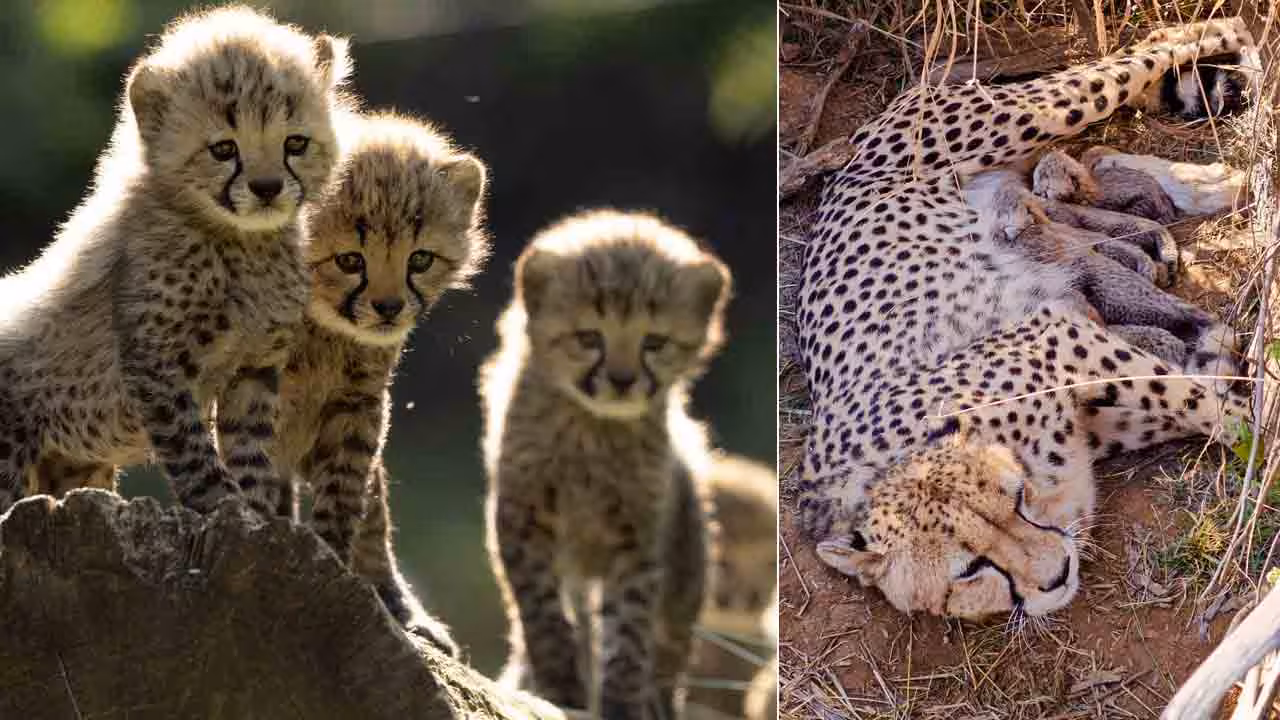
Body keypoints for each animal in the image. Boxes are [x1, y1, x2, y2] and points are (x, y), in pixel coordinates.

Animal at [0, 6, 349, 518]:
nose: (267, 188)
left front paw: (259, 516)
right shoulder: (157, 367)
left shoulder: (253, 369)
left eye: (295, 144)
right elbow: (195, 456)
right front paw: (225, 506)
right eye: (224, 149)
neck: (240, 243)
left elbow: (251, 457)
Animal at [270, 111, 489, 655]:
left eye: (420, 260)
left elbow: (350, 497)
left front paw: (327, 565)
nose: (389, 308)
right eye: (350, 260)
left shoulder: (360, 404)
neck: (323, 327)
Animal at [481, 209, 732, 720]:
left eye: (654, 342)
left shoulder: (638, 539)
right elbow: (543, 613)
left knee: (669, 647)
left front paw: (620, 701)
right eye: (588, 337)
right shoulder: (521, 518)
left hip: (687, 563)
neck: (593, 429)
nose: (621, 380)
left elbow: (630, 632)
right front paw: (559, 686)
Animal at [794, 18, 1256, 621]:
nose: (1056, 574)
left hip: (1033, 112)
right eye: (970, 570)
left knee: (1165, 43)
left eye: (1014, 500)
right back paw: (1207, 187)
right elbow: (1193, 390)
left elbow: (1201, 401)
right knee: (1099, 149)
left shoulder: (1057, 338)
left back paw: (1239, 52)